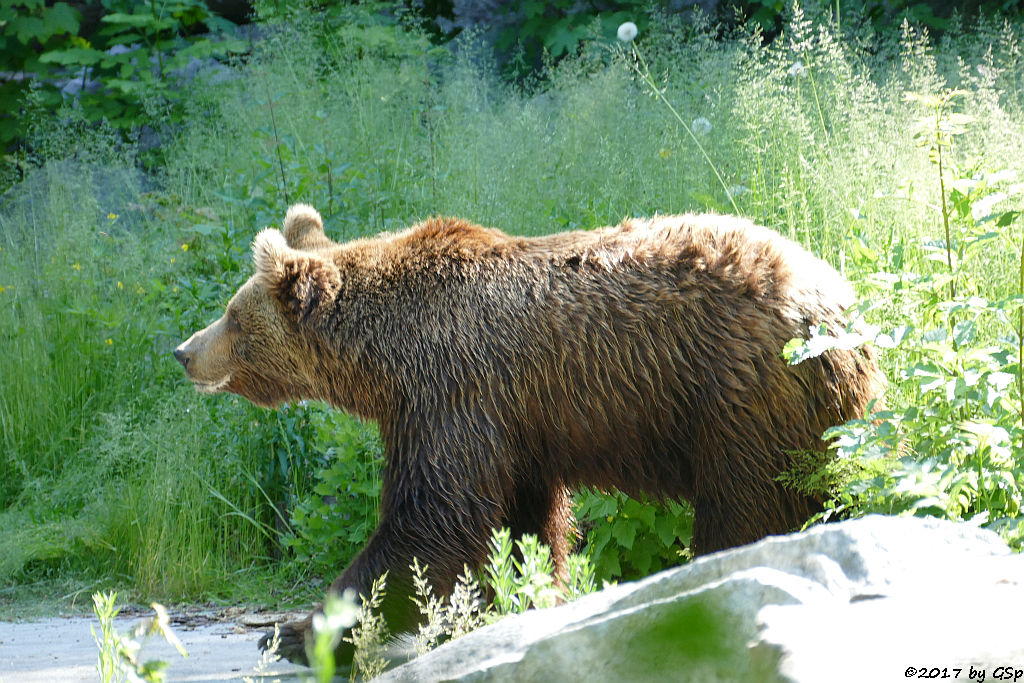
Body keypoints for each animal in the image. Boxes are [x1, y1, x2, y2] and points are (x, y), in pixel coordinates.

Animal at [174, 204, 880, 663]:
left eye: (232, 315)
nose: (184, 352)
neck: (385, 358)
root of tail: (842, 303)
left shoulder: (452, 390)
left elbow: (432, 516)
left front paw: (297, 630)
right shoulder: (518, 423)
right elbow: (517, 522)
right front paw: (513, 599)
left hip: (737, 394)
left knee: (747, 503)